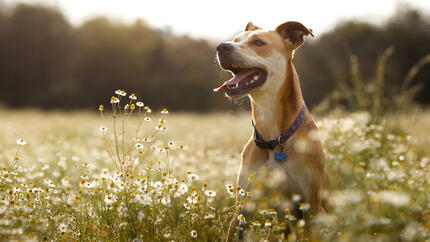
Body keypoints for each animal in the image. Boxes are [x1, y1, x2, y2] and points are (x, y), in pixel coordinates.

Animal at [213, 21, 330, 240]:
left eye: (258, 42)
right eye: (235, 40)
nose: (221, 47)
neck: (275, 138)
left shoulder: (311, 206)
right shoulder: (243, 206)